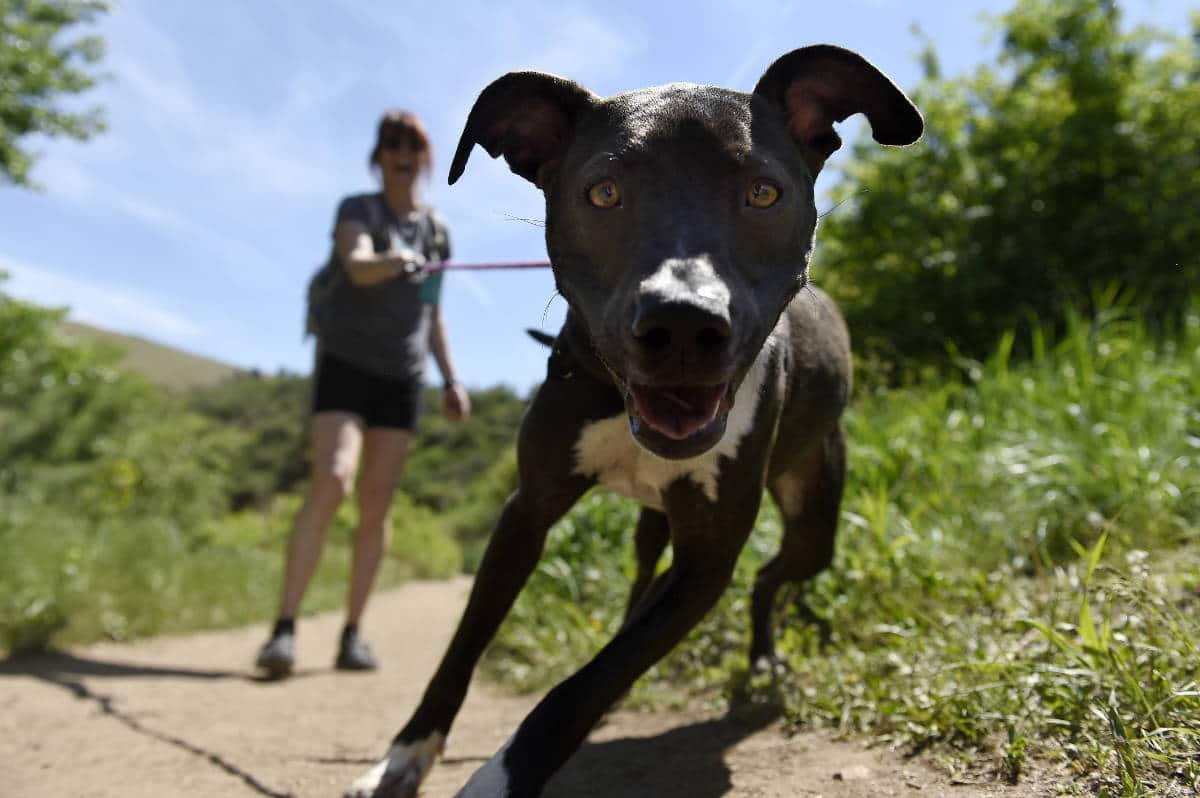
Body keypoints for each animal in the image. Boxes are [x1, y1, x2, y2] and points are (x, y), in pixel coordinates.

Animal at [348, 43, 916, 796]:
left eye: (764, 192)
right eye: (604, 193)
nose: (683, 325)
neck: (619, 401)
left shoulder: (707, 560)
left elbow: (580, 689)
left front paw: (501, 777)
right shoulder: (527, 511)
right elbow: (464, 644)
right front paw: (405, 755)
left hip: (814, 520)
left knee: (767, 578)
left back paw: (762, 660)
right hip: (657, 525)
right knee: (646, 575)